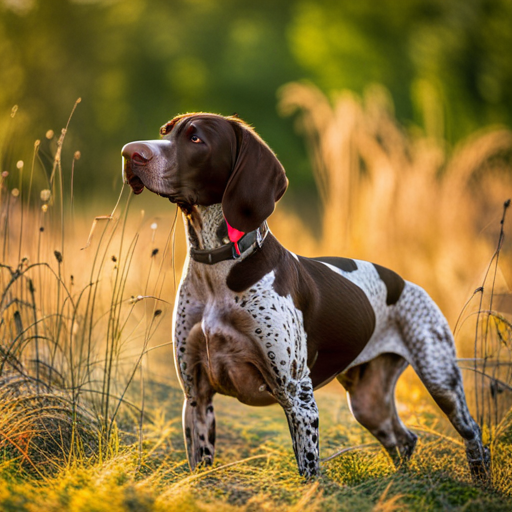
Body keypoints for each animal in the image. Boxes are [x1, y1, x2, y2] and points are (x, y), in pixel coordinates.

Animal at [121, 113, 492, 484]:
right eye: (165, 132)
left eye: (196, 139)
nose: (129, 153)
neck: (218, 268)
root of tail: (406, 282)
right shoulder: (196, 396)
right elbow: (200, 463)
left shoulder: (298, 397)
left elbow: (309, 470)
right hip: (368, 402)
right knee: (404, 439)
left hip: (440, 380)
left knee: (474, 435)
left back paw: (481, 482)